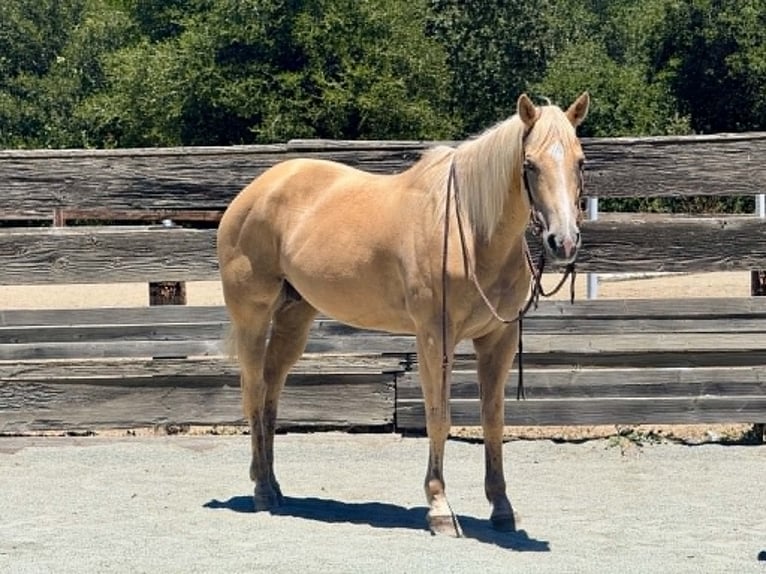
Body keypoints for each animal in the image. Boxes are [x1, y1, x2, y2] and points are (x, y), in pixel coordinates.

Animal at [217, 92, 590, 537]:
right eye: (530, 164)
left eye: (580, 161)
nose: (563, 242)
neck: (470, 232)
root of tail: (254, 193)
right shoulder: (434, 337)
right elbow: (439, 417)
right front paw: (440, 508)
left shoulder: (497, 340)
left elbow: (493, 420)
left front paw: (501, 507)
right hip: (252, 317)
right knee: (254, 391)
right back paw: (260, 491)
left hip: (295, 315)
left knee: (272, 390)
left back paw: (274, 486)